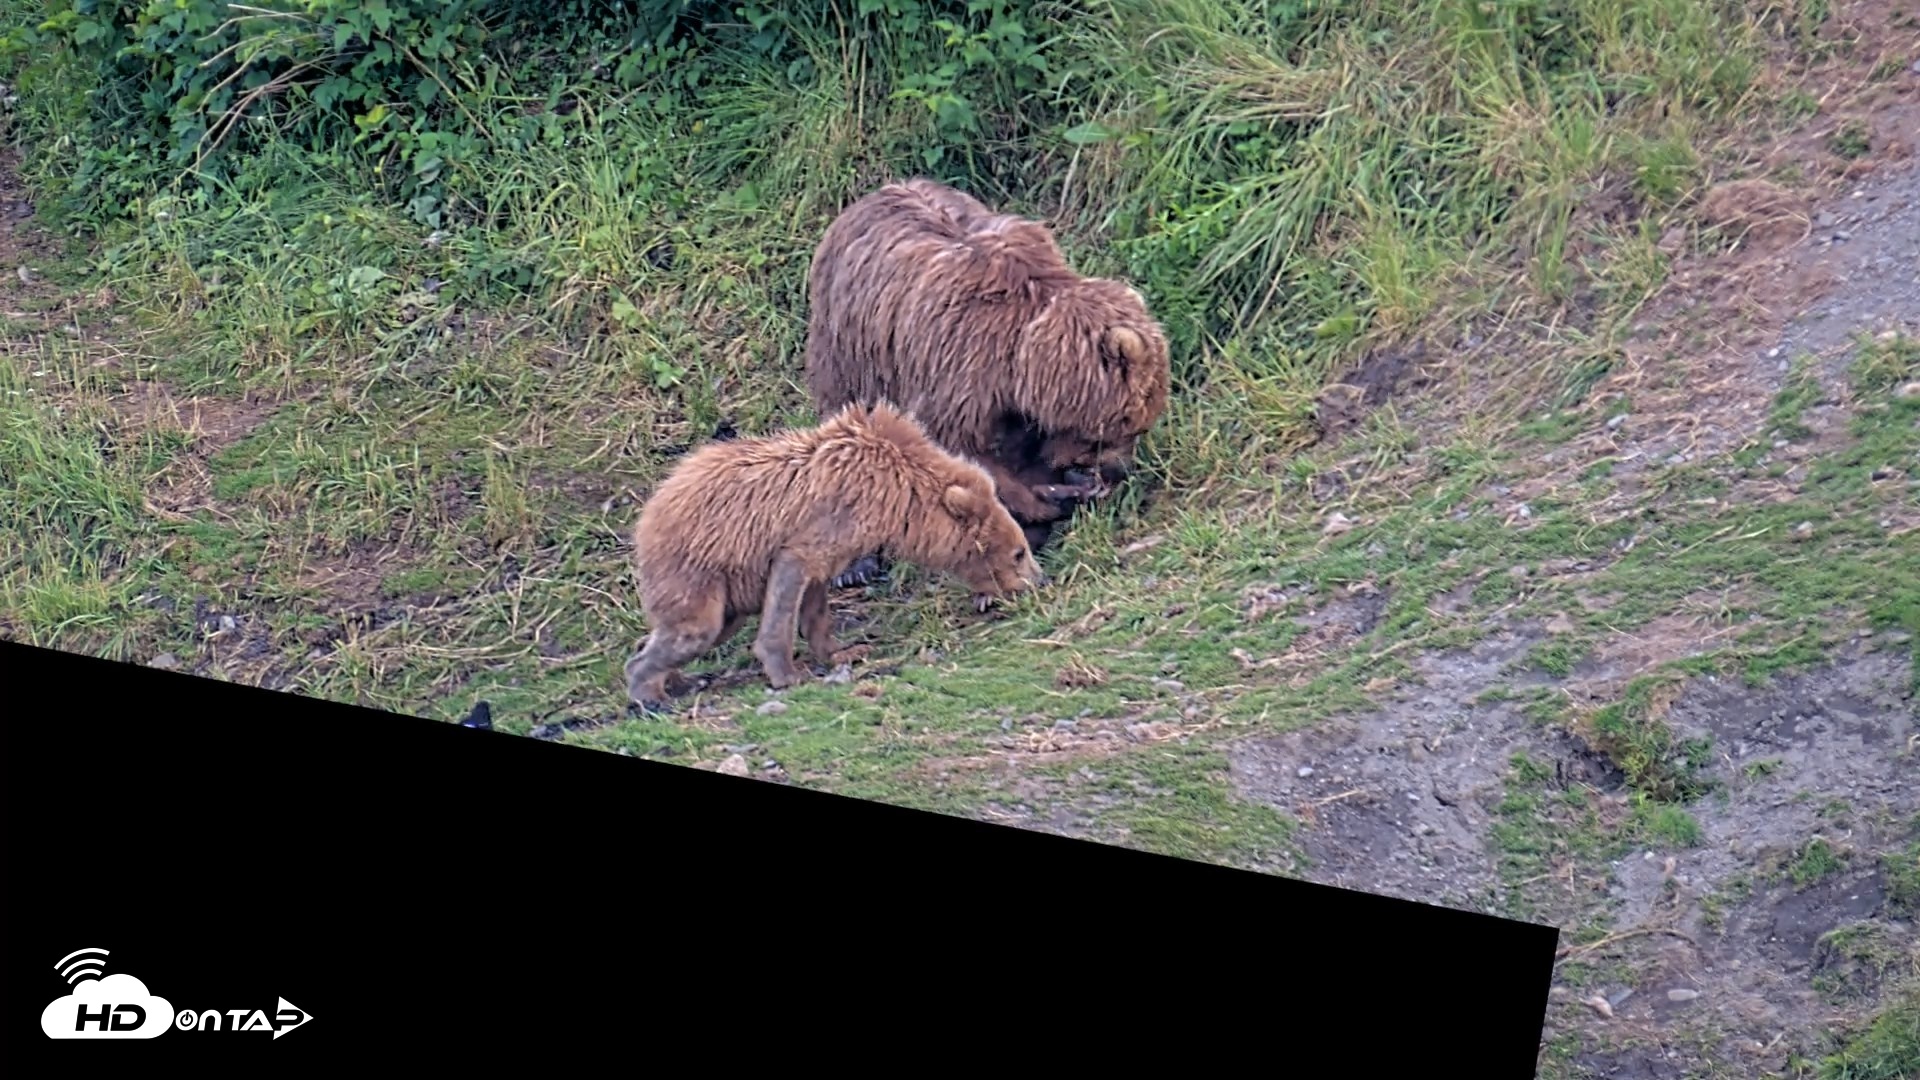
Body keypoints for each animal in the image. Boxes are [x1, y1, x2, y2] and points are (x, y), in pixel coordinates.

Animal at [620, 400, 1044, 712]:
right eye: (1018, 552)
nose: (1038, 580)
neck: (898, 494)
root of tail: (649, 511)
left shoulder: (838, 544)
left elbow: (816, 600)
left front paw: (846, 651)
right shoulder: (821, 523)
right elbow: (789, 587)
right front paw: (788, 672)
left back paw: (676, 677)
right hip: (697, 566)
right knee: (697, 629)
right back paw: (649, 691)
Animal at [803, 177, 1172, 585]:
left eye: (1141, 426)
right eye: (1122, 427)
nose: (1117, 472)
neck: (1019, 356)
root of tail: (866, 198)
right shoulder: (959, 365)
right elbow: (962, 451)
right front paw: (1043, 503)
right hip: (849, 348)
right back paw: (855, 566)